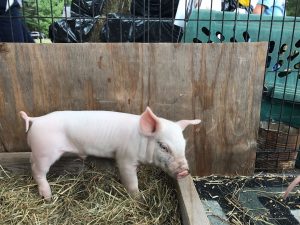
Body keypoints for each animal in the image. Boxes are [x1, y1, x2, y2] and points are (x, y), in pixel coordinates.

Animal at [19, 107, 200, 200]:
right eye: (163, 146)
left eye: (184, 144)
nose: (185, 171)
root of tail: (36, 120)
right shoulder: (125, 157)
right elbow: (131, 181)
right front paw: (138, 198)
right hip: (45, 152)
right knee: (37, 171)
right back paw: (48, 197)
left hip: (38, 151)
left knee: (31, 161)